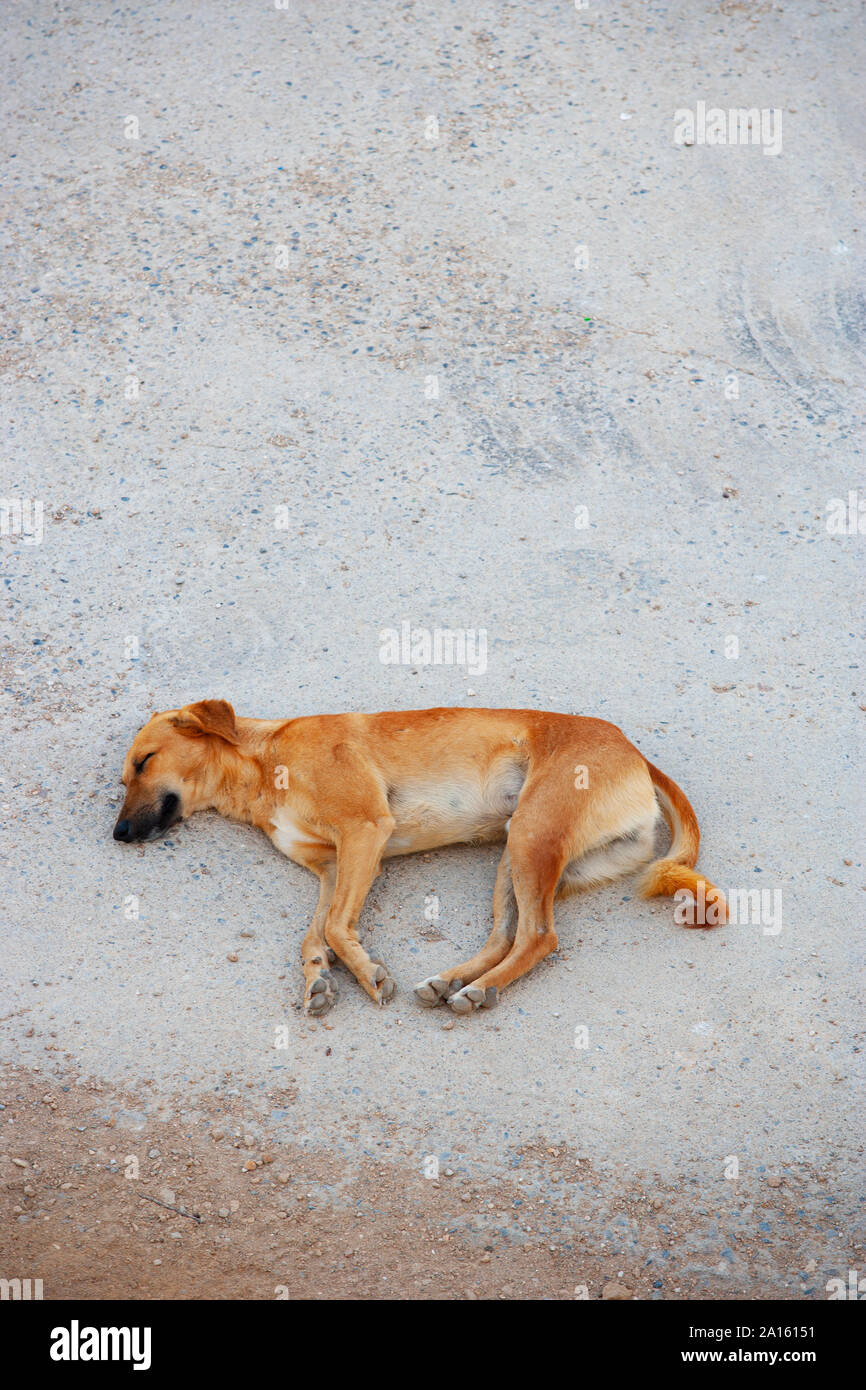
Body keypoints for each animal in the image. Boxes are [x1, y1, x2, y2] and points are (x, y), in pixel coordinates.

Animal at [113, 700, 722, 1017]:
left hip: (532, 835)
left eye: (144, 761)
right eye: (125, 777)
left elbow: (334, 927)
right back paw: (454, 982)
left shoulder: (364, 832)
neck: (263, 764)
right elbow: (314, 935)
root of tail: (634, 752)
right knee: (506, 935)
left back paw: (476, 990)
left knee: (539, 936)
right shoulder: (332, 867)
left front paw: (365, 974)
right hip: (516, 853)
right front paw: (317, 977)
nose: (117, 834)